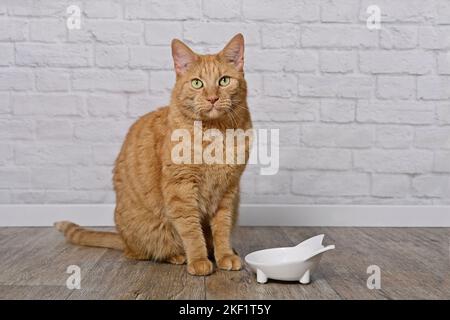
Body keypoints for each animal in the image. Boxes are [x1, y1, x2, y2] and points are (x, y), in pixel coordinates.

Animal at [54, 33, 251, 276]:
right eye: (197, 83)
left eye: (224, 80)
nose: (212, 98)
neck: (215, 135)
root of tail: (123, 239)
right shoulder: (180, 190)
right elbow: (191, 231)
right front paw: (198, 260)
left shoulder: (228, 191)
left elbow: (222, 229)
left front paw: (224, 255)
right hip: (152, 230)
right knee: (145, 252)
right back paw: (178, 256)